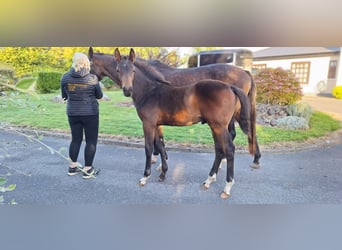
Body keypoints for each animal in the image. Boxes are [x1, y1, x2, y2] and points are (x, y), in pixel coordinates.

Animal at [88, 47, 262, 168]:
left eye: (89, 66)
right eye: (118, 70)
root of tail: (245, 71)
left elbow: (155, 141)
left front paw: (155, 159)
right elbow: (160, 140)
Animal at [116, 47, 252, 198]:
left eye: (133, 70)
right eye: (118, 70)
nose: (127, 90)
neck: (150, 92)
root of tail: (230, 87)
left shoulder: (148, 124)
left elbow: (149, 148)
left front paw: (145, 177)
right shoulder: (157, 125)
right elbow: (160, 145)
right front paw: (162, 174)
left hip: (219, 126)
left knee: (228, 149)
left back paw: (226, 187)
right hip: (215, 126)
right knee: (219, 149)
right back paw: (208, 180)